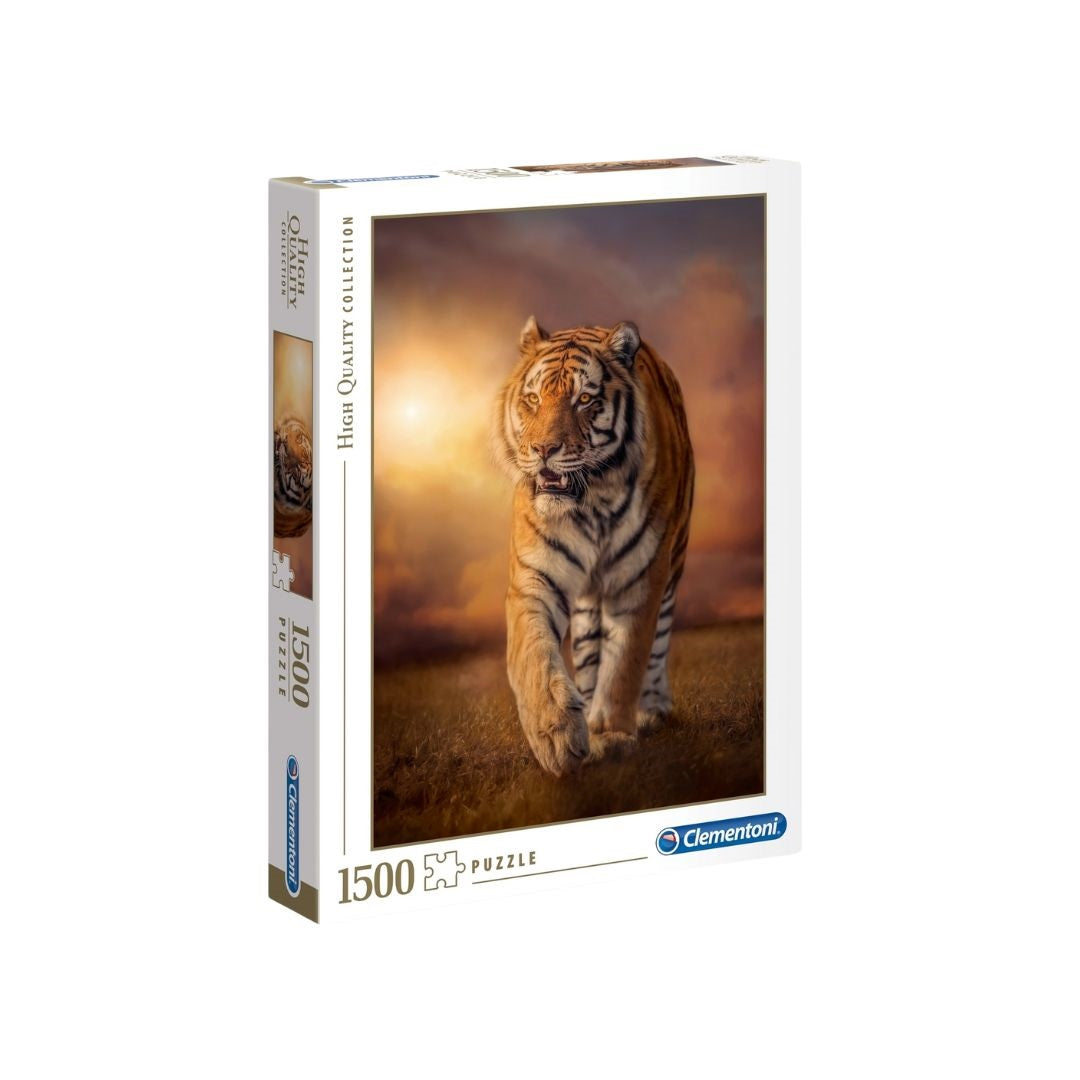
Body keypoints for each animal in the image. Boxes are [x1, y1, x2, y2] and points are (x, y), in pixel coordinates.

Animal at [493, 316, 695, 776]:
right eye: (533, 399)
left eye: (584, 399)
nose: (543, 450)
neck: (592, 503)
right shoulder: (534, 577)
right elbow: (533, 654)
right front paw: (557, 735)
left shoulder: (641, 578)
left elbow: (625, 662)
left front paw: (612, 734)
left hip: (673, 564)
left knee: (658, 642)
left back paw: (651, 708)